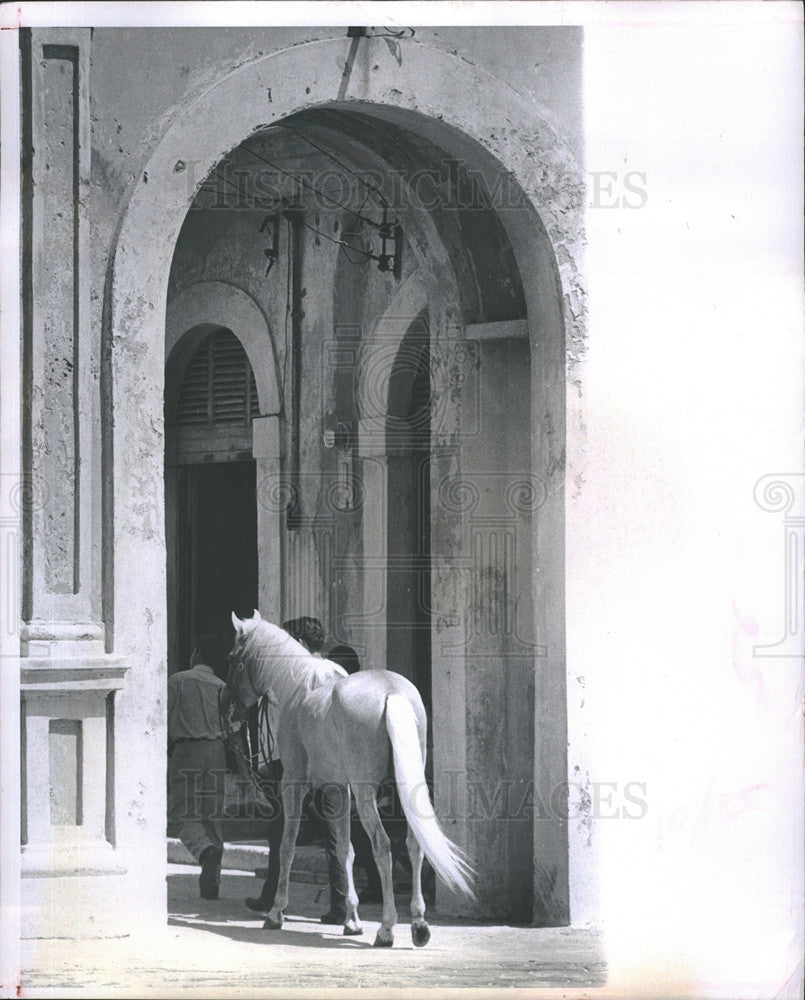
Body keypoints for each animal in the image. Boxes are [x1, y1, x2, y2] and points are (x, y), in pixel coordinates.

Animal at [226, 608, 472, 944]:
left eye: (231, 657)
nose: (230, 712)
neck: (299, 687)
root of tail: (391, 692)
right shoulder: (338, 789)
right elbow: (344, 849)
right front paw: (351, 919)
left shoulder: (293, 782)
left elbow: (287, 844)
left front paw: (276, 912)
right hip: (406, 789)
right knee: (414, 844)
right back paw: (419, 925)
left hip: (366, 793)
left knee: (382, 845)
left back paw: (386, 928)